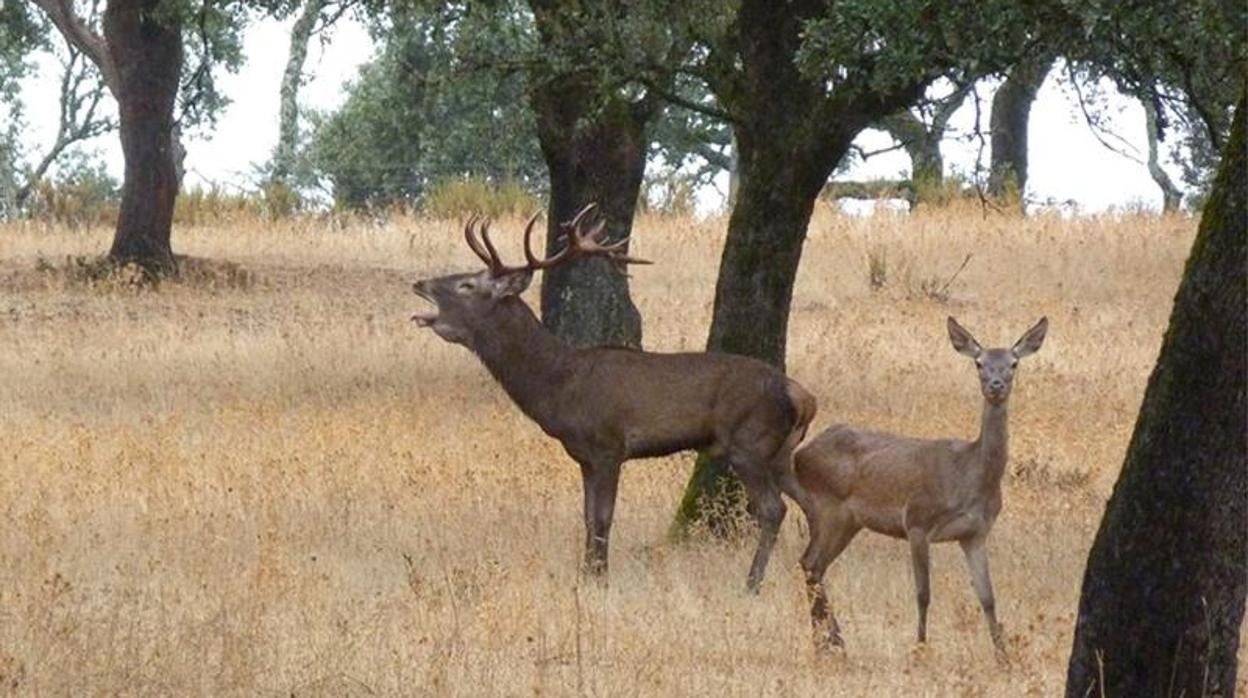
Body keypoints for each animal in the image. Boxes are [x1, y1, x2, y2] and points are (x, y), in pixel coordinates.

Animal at [410, 204, 817, 591]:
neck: (558, 387)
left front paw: (600, 579)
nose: (419, 282)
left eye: (467, 284)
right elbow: (588, 517)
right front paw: (588, 575)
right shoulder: (584, 456)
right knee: (811, 501)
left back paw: (752, 583)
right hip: (780, 453)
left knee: (773, 509)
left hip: (749, 442)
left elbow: (604, 517)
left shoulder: (609, 445)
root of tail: (801, 394)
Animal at [793, 316, 1047, 662]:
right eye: (979, 363)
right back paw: (830, 642)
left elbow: (988, 597)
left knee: (813, 565)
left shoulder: (975, 534)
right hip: (829, 506)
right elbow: (923, 593)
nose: (996, 385)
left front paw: (1003, 658)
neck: (970, 477)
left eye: (1014, 363)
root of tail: (800, 456)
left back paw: (829, 642)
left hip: (848, 520)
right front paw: (921, 648)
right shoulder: (916, 521)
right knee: (810, 563)